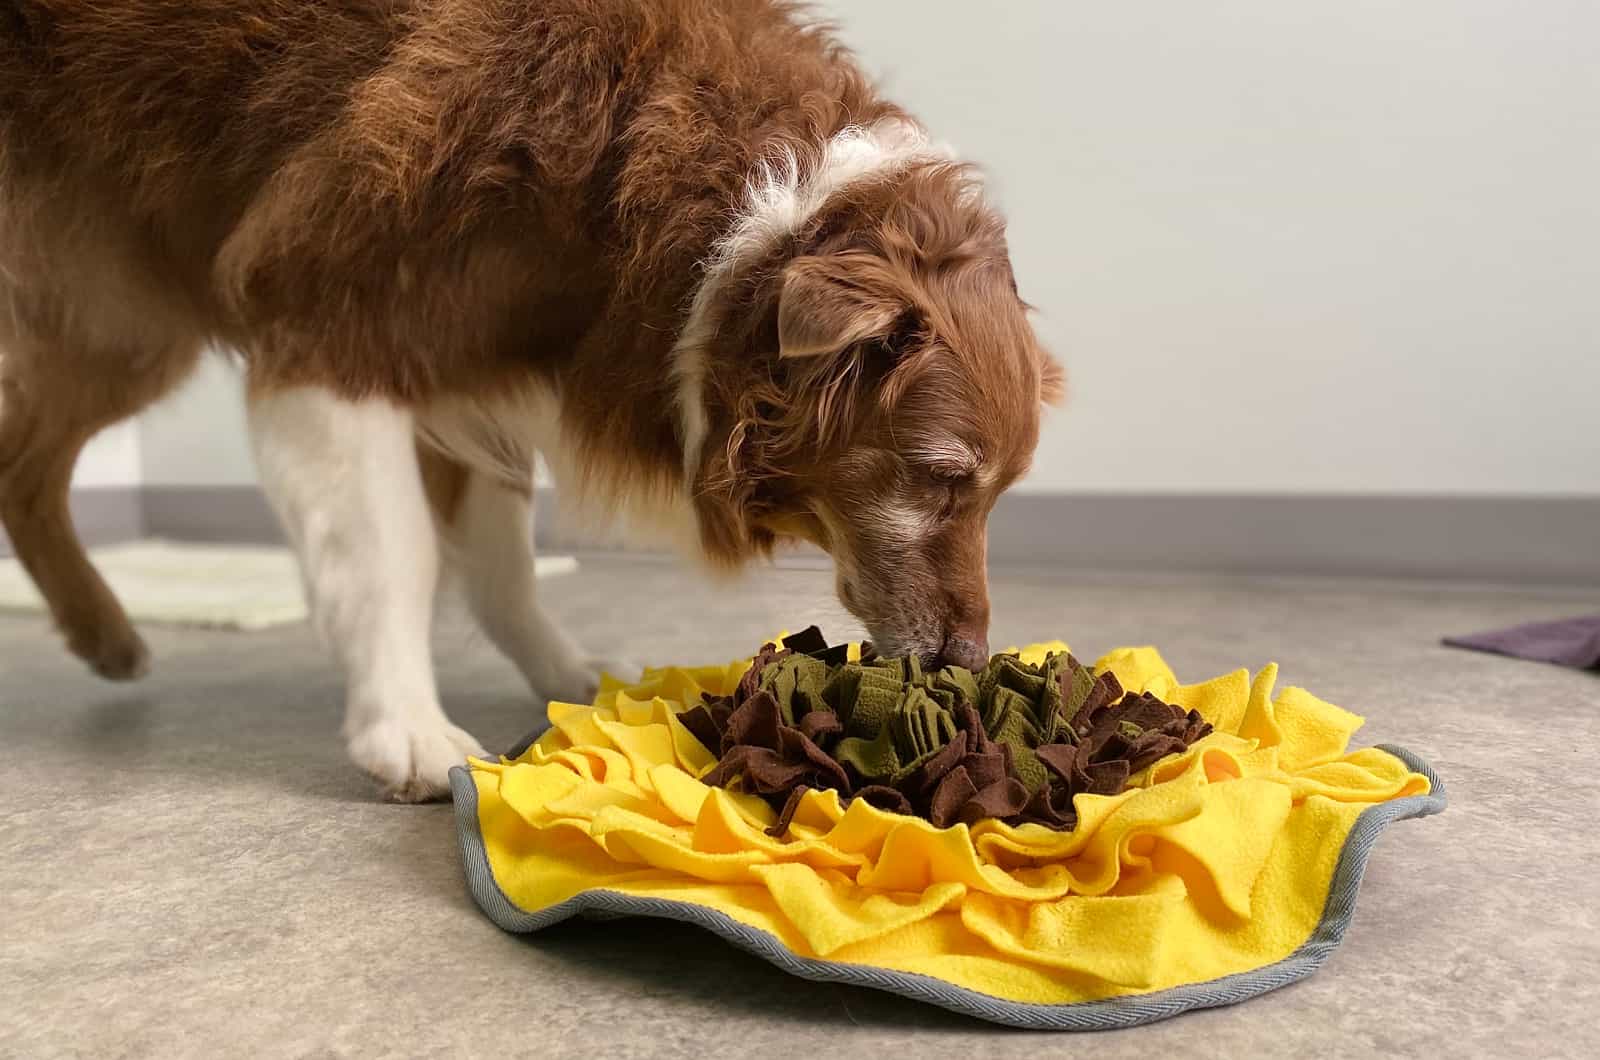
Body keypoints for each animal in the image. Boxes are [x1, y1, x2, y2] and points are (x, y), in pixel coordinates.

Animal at [0, 0, 1062, 797]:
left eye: (999, 492)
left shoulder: (476, 378)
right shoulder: (331, 327)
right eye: (941, 477)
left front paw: (564, 679)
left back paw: (103, 635)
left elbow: (504, 566)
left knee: (24, 464)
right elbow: (393, 556)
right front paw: (407, 731)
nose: (971, 659)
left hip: (124, 330)